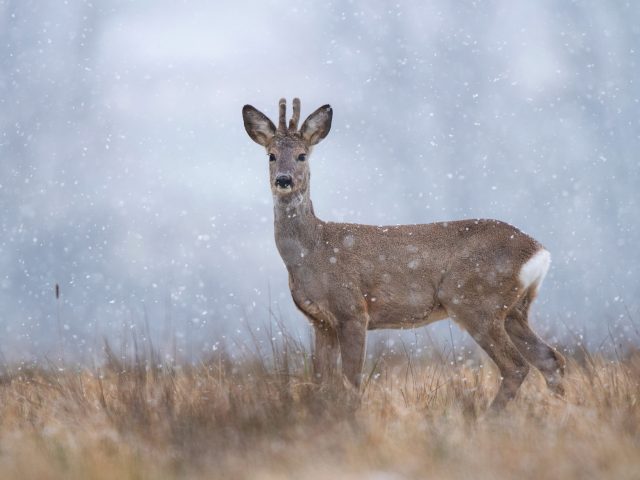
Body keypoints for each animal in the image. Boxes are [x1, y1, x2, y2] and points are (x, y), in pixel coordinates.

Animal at [240, 98, 564, 412]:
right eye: (271, 155)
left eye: (302, 156)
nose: (283, 180)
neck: (313, 252)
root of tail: (539, 251)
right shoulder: (320, 321)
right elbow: (322, 382)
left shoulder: (352, 309)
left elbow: (351, 380)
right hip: (513, 309)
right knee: (550, 359)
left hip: (475, 300)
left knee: (516, 366)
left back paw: (488, 417)